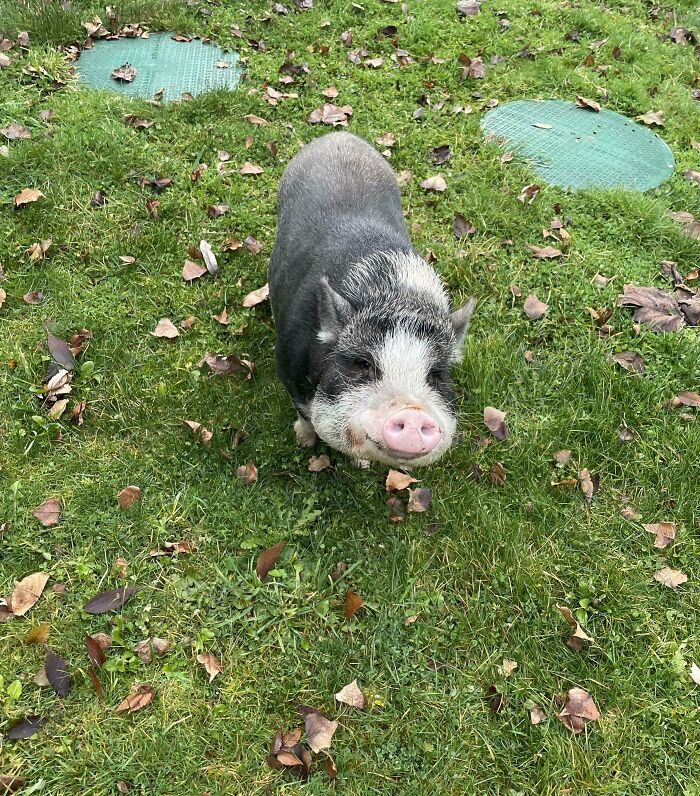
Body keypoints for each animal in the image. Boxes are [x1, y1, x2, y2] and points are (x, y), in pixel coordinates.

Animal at [268, 130, 476, 466]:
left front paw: (361, 464)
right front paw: (304, 442)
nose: (413, 412)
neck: (396, 296)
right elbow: (303, 413)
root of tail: (338, 135)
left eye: (435, 375)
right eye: (362, 363)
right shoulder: (287, 365)